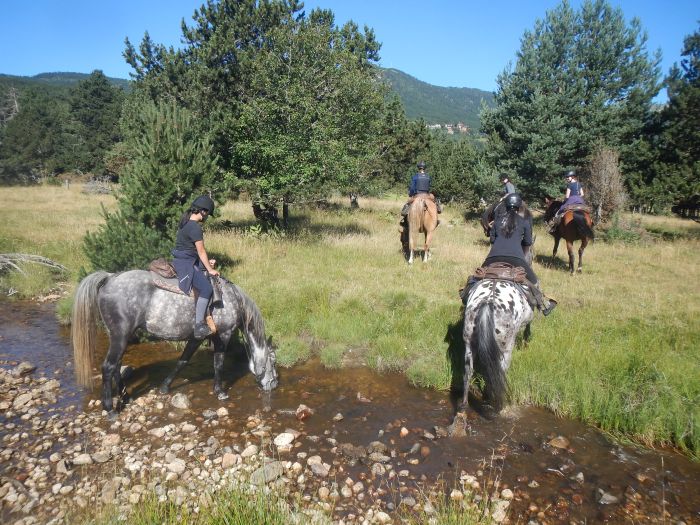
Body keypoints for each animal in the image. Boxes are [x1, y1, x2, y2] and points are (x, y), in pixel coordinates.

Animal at [71, 270, 278, 414]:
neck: (231, 299)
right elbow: (218, 364)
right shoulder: (224, 335)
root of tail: (109, 278)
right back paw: (109, 409)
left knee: (116, 366)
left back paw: (126, 397)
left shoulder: (196, 338)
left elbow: (182, 361)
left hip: (119, 338)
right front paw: (220, 391)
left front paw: (165, 387)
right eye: (273, 361)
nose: (274, 385)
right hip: (120, 336)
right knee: (108, 367)